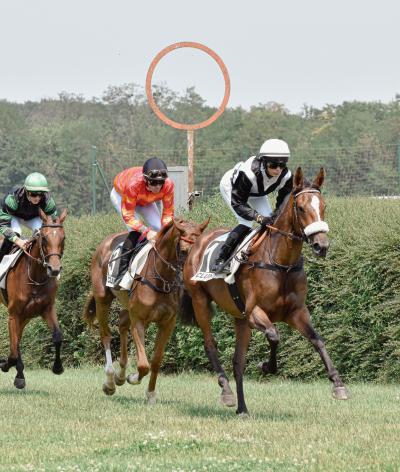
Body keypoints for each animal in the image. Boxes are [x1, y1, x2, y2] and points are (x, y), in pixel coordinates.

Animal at [0, 208, 67, 390]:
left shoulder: (46, 309)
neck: (35, 277)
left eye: (63, 238)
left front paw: (57, 367)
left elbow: (57, 336)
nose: (54, 269)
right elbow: (14, 349)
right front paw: (5, 364)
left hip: (26, 316)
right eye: (44, 238)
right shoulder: (13, 314)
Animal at [84, 217, 209, 402]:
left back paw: (120, 375)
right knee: (106, 335)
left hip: (128, 306)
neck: (161, 279)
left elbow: (156, 361)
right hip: (102, 299)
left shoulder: (167, 323)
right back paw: (110, 382)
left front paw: (150, 393)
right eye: (183, 251)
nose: (192, 279)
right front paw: (133, 378)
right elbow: (143, 364)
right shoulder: (139, 320)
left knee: (122, 323)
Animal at [180, 168, 348, 414]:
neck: (281, 264)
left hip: (238, 318)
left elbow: (317, 340)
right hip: (200, 302)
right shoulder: (253, 313)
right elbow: (274, 335)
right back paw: (227, 392)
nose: (321, 245)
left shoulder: (296, 312)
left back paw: (242, 408)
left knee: (237, 361)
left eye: (323, 206)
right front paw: (267, 366)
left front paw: (338, 384)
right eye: (301, 208)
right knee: (210, 345)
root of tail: (197, 243)